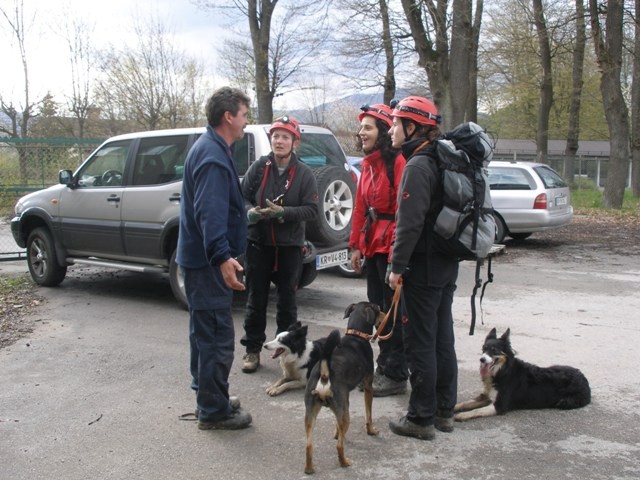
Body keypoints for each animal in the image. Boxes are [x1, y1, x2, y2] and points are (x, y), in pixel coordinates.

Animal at [302, 302, 382, 474]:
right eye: (378, 309)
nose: (384, 312)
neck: (355, 335)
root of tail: (325, 375)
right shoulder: (368, 387)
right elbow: (369, 415)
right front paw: (371, 430)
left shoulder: (343, 404)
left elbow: (337, 426)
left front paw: (337, 433)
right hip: (344, 413)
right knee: (339, 446)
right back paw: (344, 462)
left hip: (311, 412)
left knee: (309, 445)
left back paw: (309, 469)